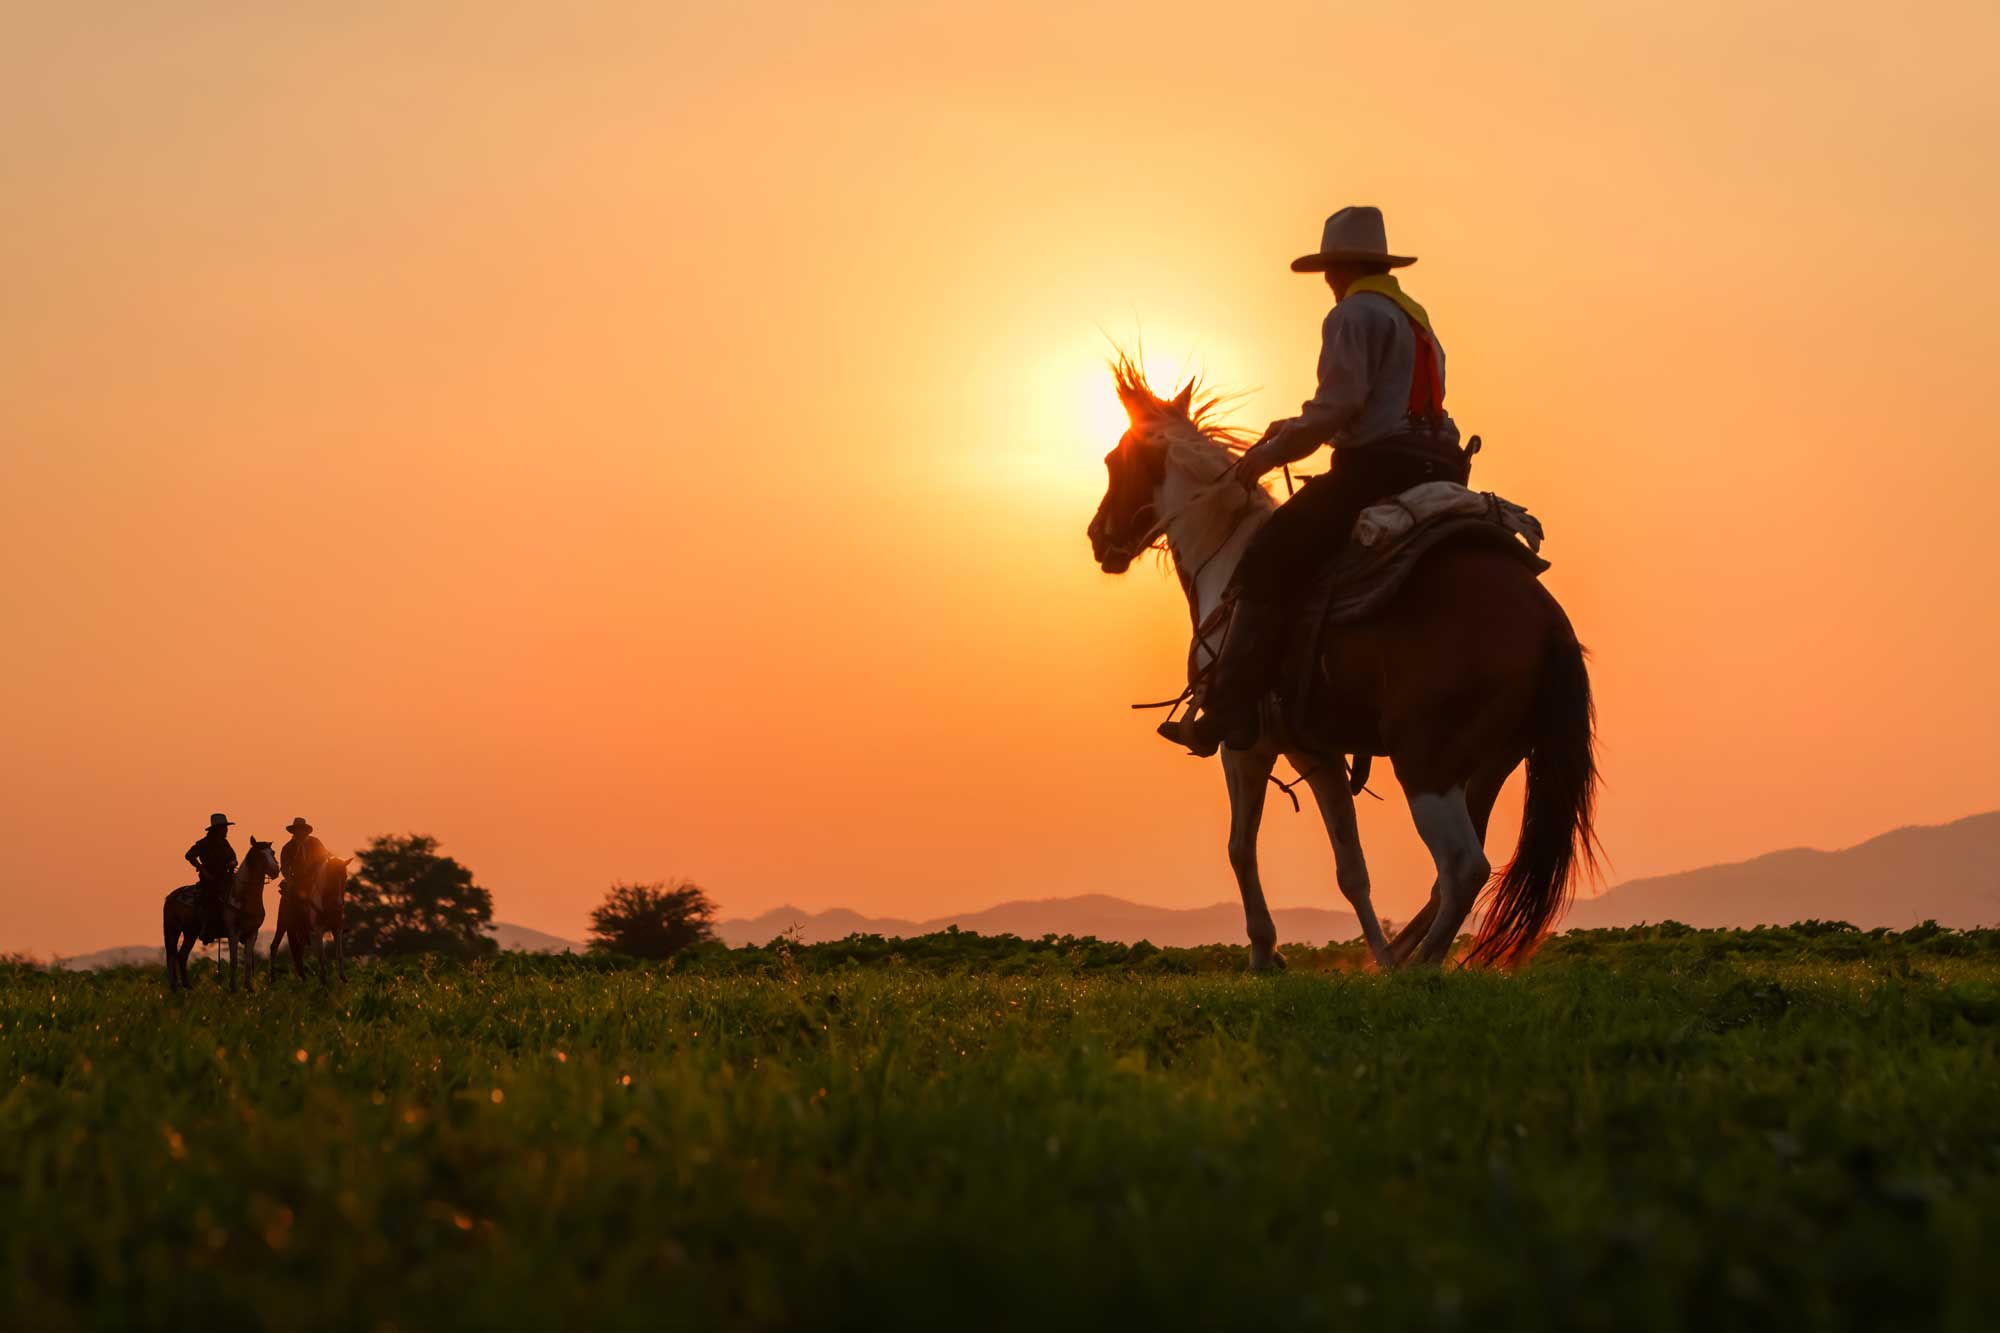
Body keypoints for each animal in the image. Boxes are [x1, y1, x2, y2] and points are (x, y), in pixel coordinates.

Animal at [164, 840, 282, 984]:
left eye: (272, 852)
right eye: (259, 855)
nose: (275, 870)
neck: (242, 895)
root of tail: (170, 896)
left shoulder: (252, 933)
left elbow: (248, 963)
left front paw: (248, 987)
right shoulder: (233, 933)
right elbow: (234, 962)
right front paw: (232, 987)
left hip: (190, 932)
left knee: (182, 956)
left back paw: (187, 986)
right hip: (173, 929)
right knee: (171, 957)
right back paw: (174, 986)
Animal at [1088, 364, 1600, 964]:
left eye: (1114, 460)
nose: (1099, 538)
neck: (1227, 561)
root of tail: (1547, 620)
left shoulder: (1247, 745)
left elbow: (1241, 847)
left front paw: (1265, 952)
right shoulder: (1320, 753)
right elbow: (1352, 870)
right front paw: (1375, 955)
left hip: (1426, 764)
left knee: (1462, 867)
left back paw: (1420, 967)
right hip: (1492, 763)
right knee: (1454, 873)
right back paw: (1404, 957)